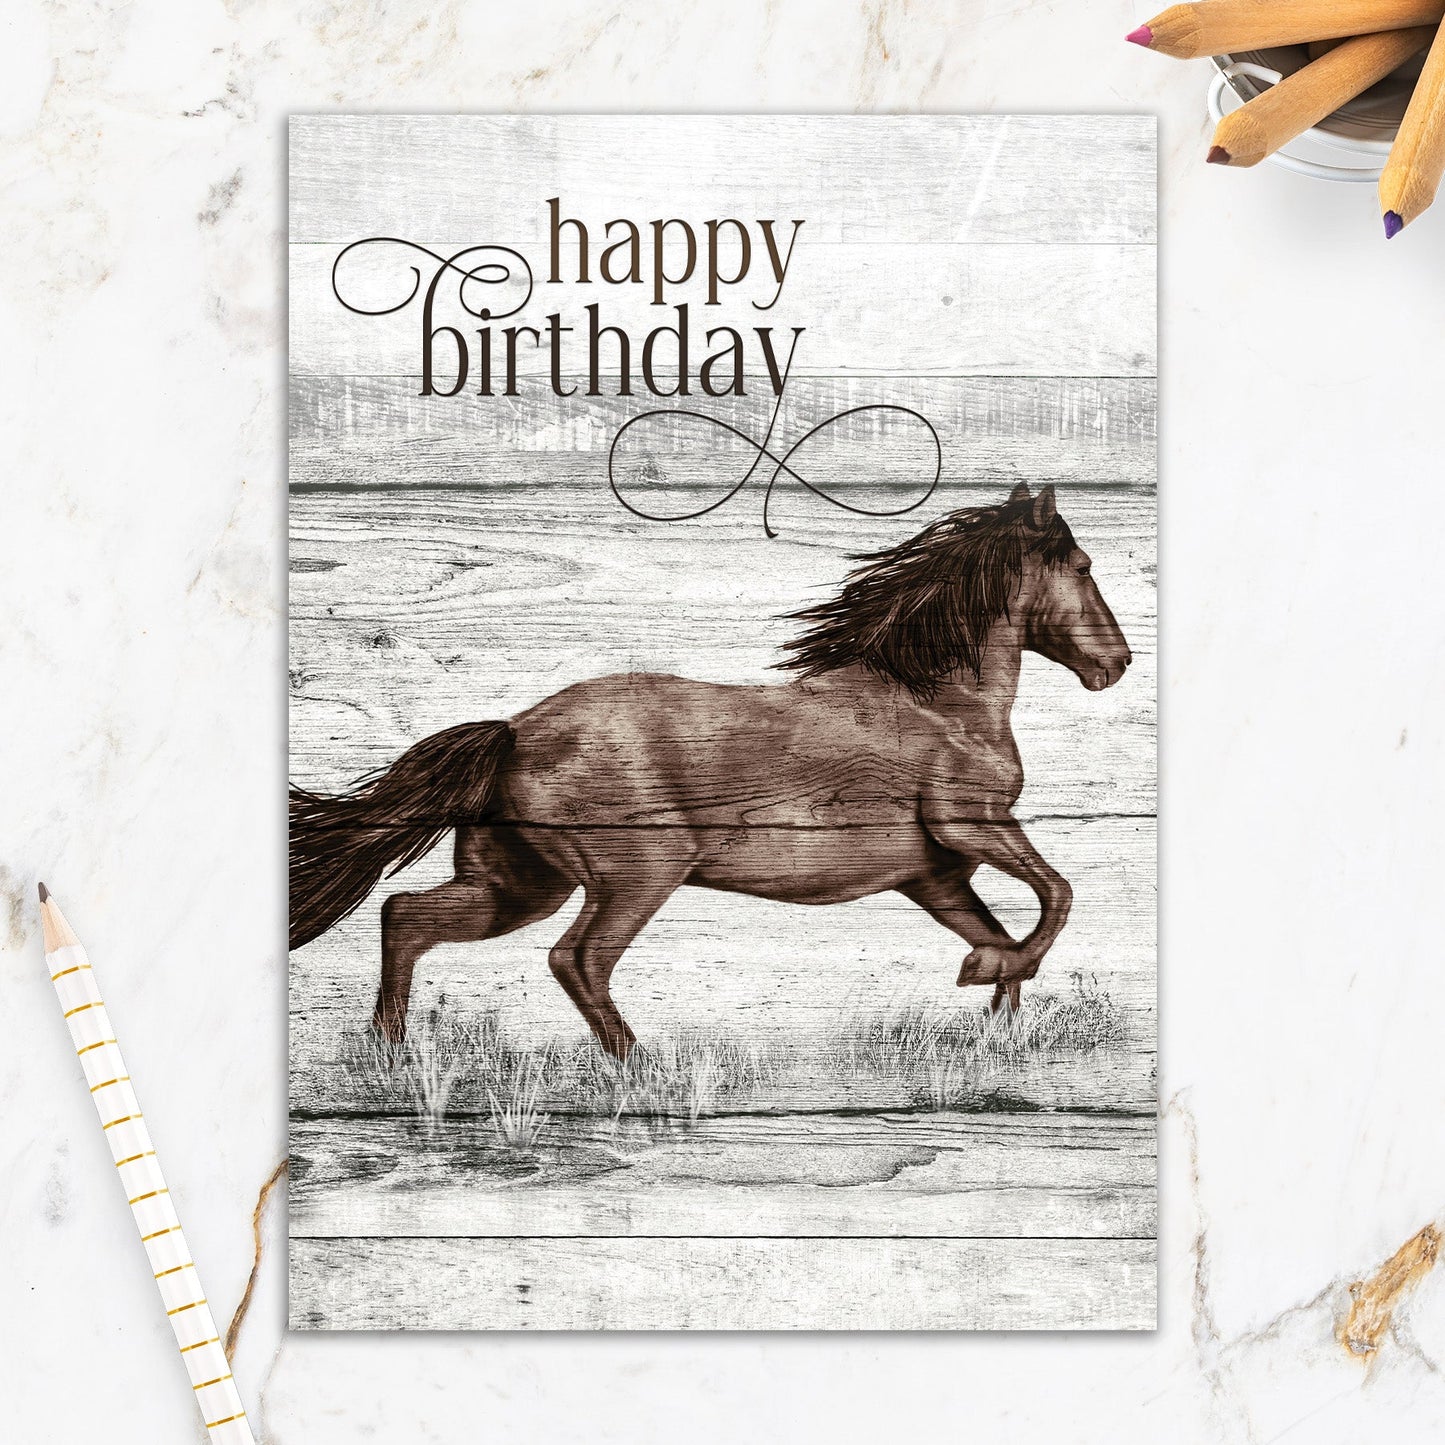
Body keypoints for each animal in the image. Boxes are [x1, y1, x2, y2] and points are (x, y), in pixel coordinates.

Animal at [289, 481, 1132, 1060]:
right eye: (1083, 563)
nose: (1116, 664)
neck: (937, 701)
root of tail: (515, 731)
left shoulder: (933, 874)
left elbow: (1010, 931)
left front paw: (992, 1017)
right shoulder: (974, 826)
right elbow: (1058, 895)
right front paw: (982, 973)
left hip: (518, 884)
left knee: (405, 916)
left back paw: (391, 1053)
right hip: (639, 873)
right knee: (576, 957)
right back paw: (638, 1065)